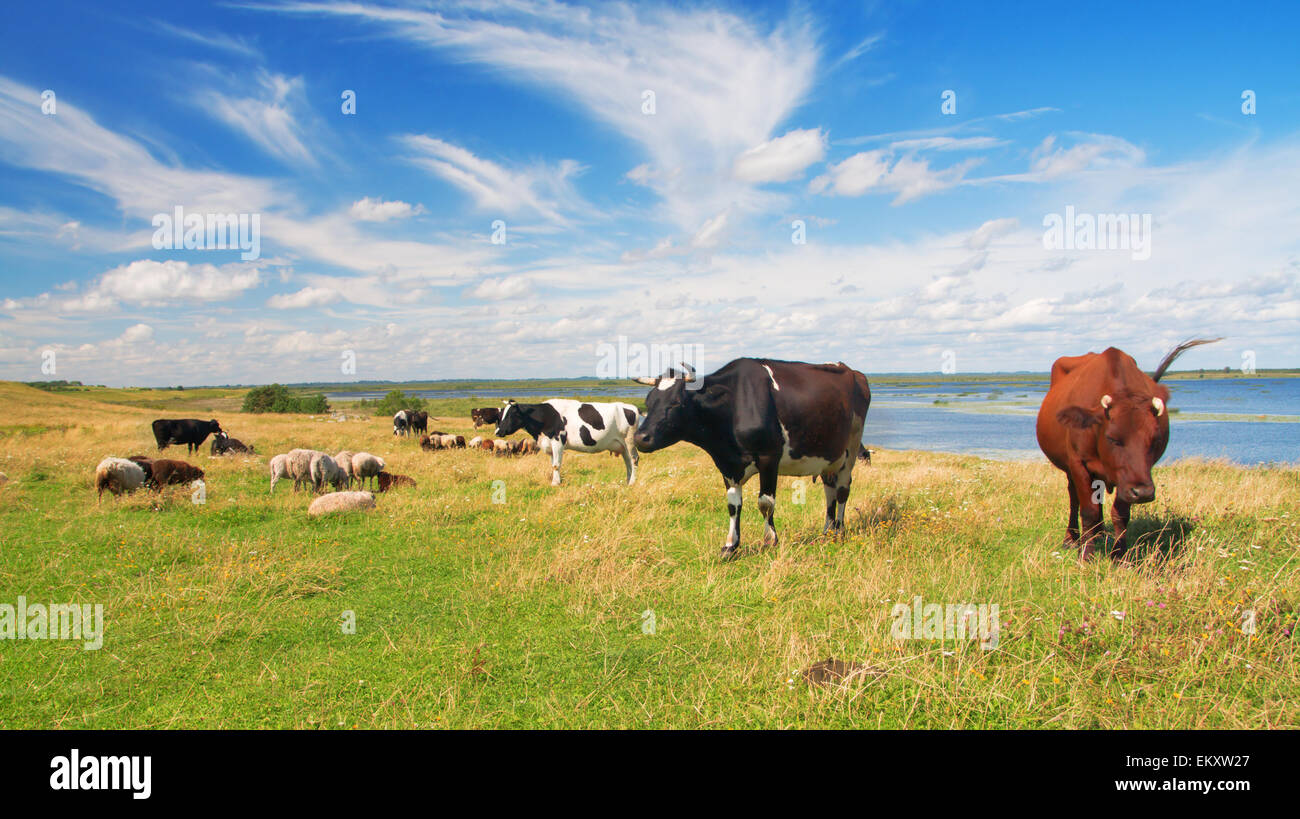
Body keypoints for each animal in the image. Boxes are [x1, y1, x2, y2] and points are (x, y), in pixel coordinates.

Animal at [493, 400, 642, 488]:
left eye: (511, 414)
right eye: (501, 414)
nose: (497, 431)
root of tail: (633, 408)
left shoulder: (558, 440)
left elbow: (556, 465)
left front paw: (555, 483)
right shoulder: (549, 444)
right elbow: (553, 464)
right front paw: (556, 481)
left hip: (629, 441)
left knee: (634, 459)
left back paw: (632, 482)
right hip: (622, 445)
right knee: (628, 462)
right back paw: (628, 481)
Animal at [631, 361, 873, 561]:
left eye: (676, 403)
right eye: (648, 402)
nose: (640, 437)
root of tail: (853, 372)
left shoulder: (769, 457)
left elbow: (765, 503)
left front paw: (770, 540)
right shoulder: (728, 465)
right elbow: (733, 505)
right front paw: (730, 546)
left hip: (852, 446)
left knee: (842, 490)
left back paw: (839, 531)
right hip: (828, 456)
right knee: (829, 489)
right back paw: (827, 531)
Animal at [1034, 338, 1216, 561]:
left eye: (1155, 440)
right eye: (1112, 438)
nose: (1144, 493)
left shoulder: (1129, 477)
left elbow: (1120, 514)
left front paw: (1120, 556)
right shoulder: (1078, 464)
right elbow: (1088, 510)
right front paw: (1086, 555)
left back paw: (1100, 533)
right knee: (1074, 498)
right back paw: (1073, 538)